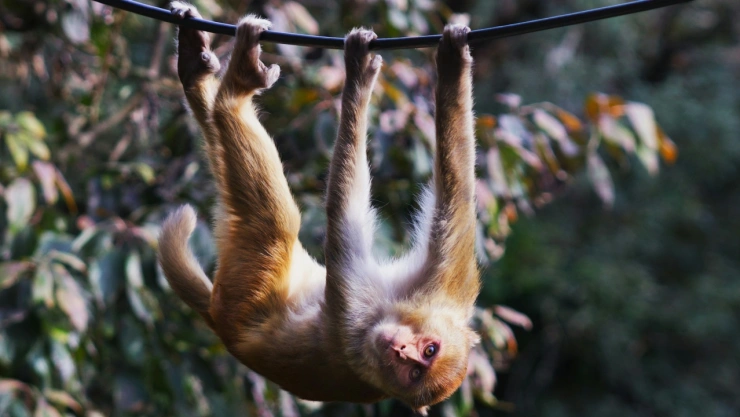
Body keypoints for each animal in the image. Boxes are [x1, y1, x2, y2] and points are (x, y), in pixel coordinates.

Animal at [159, 2, 480, 413]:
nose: (401, 350)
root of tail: (216, 321)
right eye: (428, 350)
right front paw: (454, 64)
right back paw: (196, 71)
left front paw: (358, 74)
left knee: (275, 221)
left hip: (240, 289)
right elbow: (455, 198)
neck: (383, 316)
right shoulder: (446, 287)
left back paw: (236, 88)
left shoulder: (354, 325)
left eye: (415, 370)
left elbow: (344, 219)